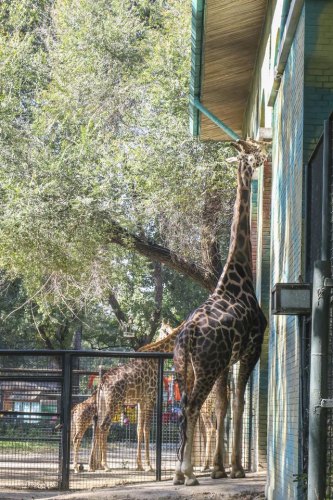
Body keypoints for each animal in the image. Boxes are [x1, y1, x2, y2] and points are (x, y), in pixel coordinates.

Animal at [172, 139, 266, 486]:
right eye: (252, 155)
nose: (265, 156)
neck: (239, 276)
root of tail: (188, 335)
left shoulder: (227, 360)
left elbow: (223, 405)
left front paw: (218, 468)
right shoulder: (252, 349)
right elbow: (239, 403)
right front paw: (235, 467)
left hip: (185, 368)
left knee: (186, 406)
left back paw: (180, 472)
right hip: (206, 367)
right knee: (192, 406)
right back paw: (187, 474)